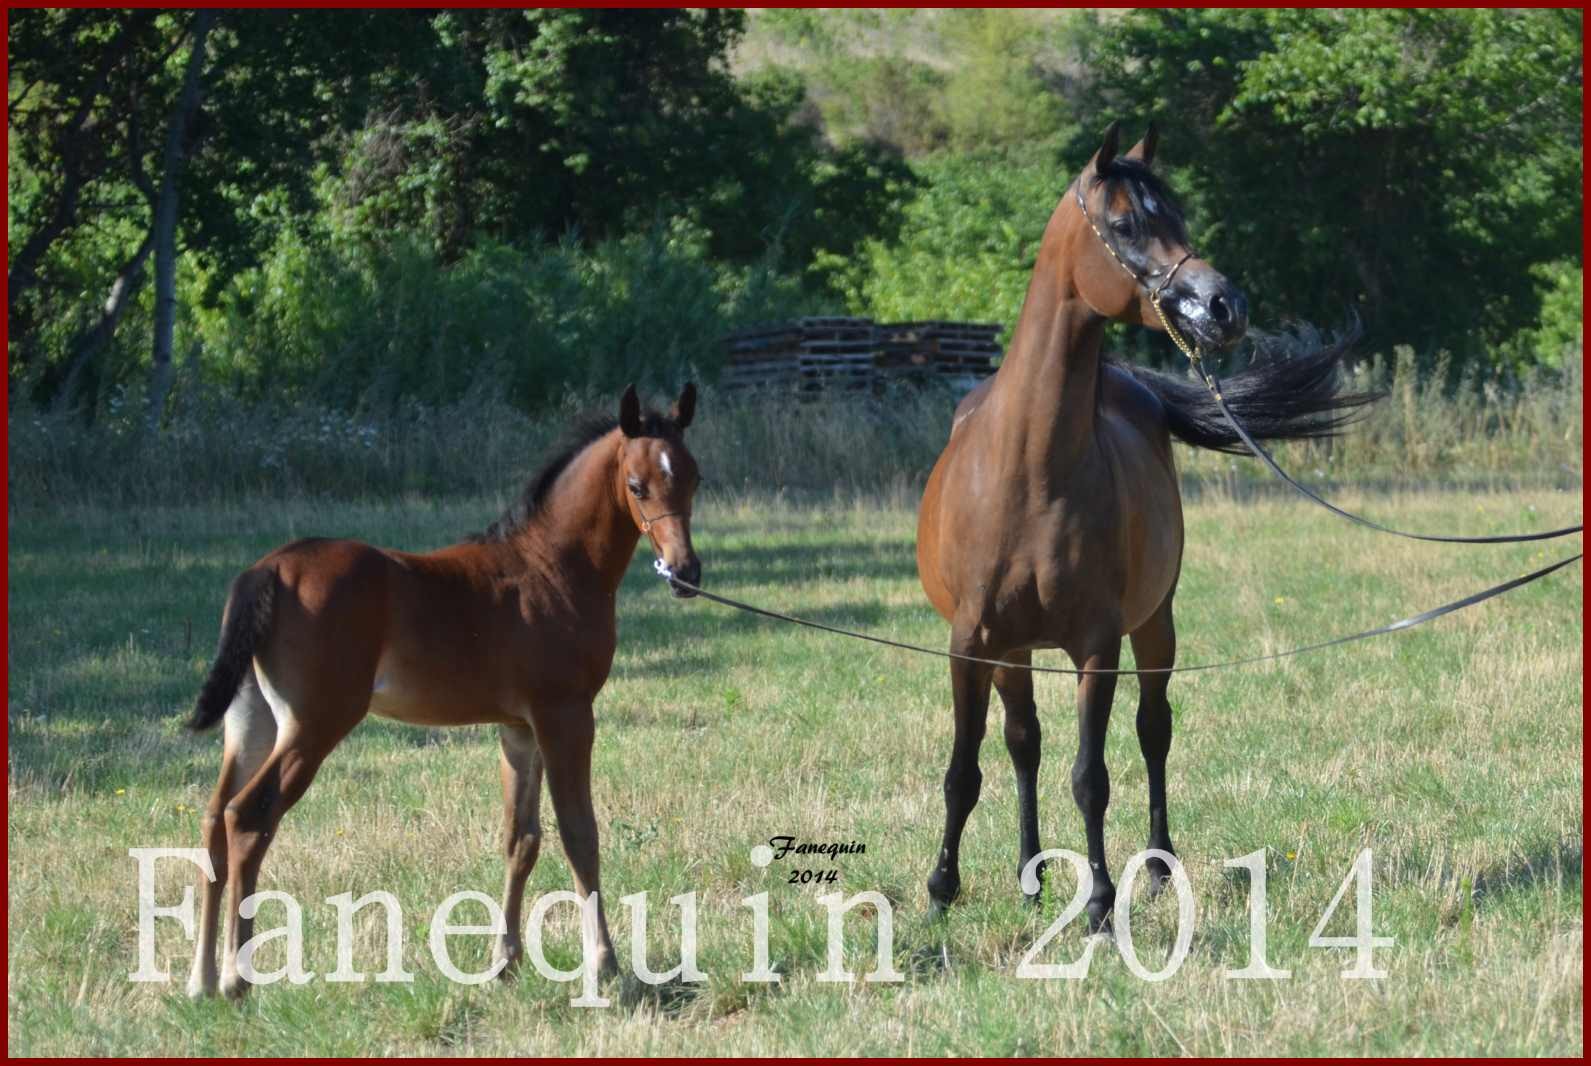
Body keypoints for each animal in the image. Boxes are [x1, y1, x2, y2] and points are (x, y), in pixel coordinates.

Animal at [184, 385, 703, 1005]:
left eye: (694, 477)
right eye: (636, 485)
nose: (686, 571)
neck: (551, 567)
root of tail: (265, 572)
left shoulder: (518, 727)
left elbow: (521, 838)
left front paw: (504, 961)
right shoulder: (566, 715)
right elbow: (580, 832)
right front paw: (604, 965)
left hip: (253, 722)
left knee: (214, 819)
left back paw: (201, 978)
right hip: (314, 725)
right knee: (248, 816)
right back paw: (237, 978)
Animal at [916, 120, 1374, 929]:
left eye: (1180, 219)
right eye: (1127, 224)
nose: (1224, 306)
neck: (1025, 468)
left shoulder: (1098, 646)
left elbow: (1091, 775)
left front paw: (1101, 904)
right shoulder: (969, 643)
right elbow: (964, 771)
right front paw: (942, 892)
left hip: (1155, 625)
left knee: (1152, 731)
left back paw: (1157, 868)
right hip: (1014, 651)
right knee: (1023, 742)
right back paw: (1030, 874)